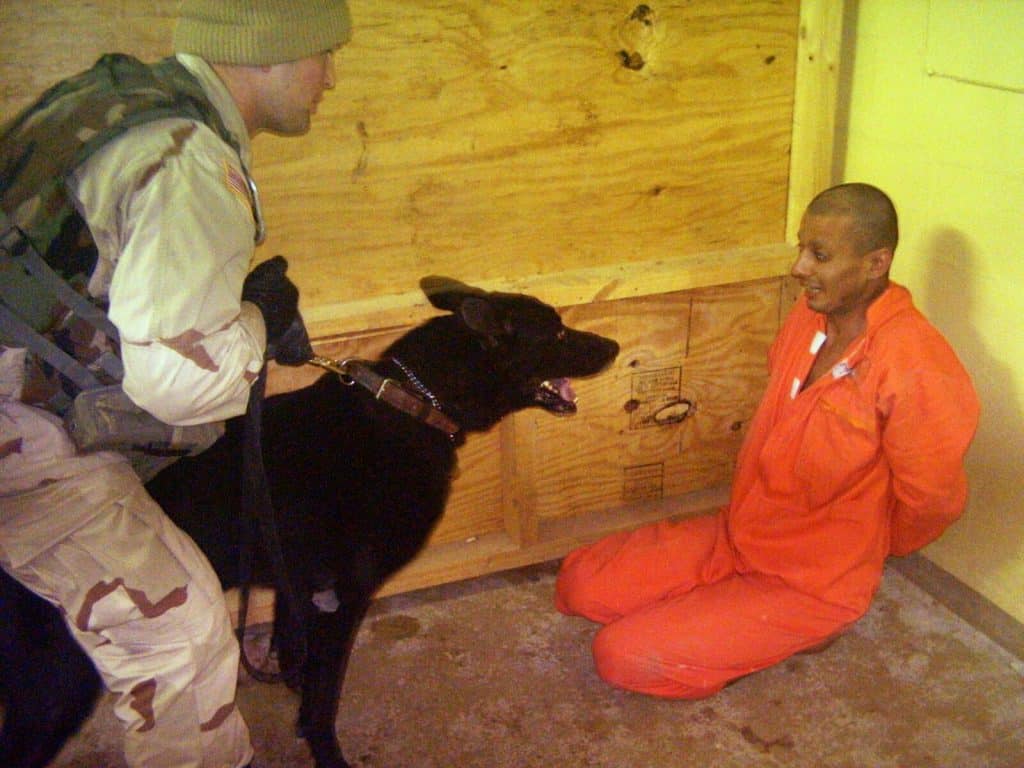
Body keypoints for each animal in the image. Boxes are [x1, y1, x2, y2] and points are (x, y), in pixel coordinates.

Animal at [0, 278, 614, 768]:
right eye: (559, 335)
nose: (613, 345)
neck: (410, 400)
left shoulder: (297, 585)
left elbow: (292, 649)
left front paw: (290, 682)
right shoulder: (342, 599)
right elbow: (323, 699)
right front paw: (325, 750)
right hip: (58, 686)